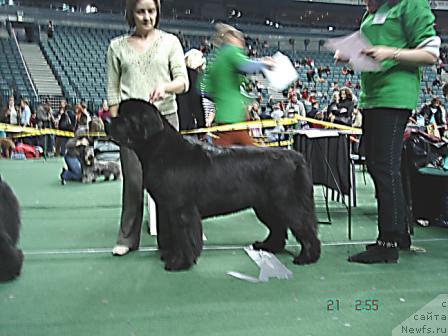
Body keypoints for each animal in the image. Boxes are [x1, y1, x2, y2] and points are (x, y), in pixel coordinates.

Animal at [109, 99, 320, 270]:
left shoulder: (181, 209)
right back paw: (267, 246)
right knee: (278, 227)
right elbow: (173, 236)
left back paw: (307, 258)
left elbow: (184, 237)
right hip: (266, 205)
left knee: (304, 227)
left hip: (287, 203)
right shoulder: (168, 208)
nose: (108, 122)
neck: (161, 151)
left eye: (126, 118)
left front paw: (180, 263)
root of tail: (295, 156)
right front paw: (170, 256)